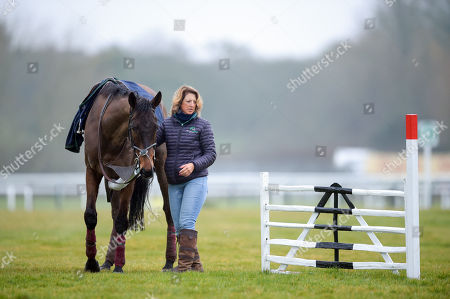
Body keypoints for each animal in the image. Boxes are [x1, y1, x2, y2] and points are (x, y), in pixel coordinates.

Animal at [82, 81, 176, 274]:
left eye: (156, 127)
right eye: (133, 128)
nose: (147, 169)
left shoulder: (128, 177)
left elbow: (121, 220)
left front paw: (119, 265)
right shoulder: (92, 171)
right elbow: (91, 215)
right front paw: (92, 263)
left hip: (162, 169)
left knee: (169, 209)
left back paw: (169, 262)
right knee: (114, 211)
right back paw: (107, 261)